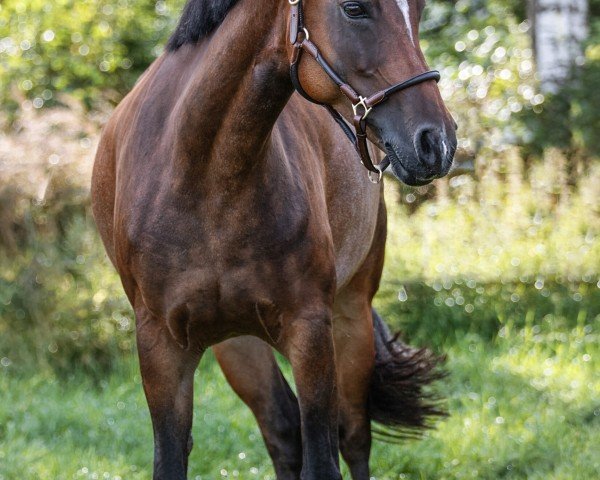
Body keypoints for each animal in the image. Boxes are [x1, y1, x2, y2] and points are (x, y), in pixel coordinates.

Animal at [90, 0, 454, 480]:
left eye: (419, 10)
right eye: (354, 8)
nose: (437, 142)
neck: (208, 179)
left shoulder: (310, 331)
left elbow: (324, 458)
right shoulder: (160, 346)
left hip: (351, 317)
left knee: (353, 436)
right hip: (238, 343)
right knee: (282, 430)